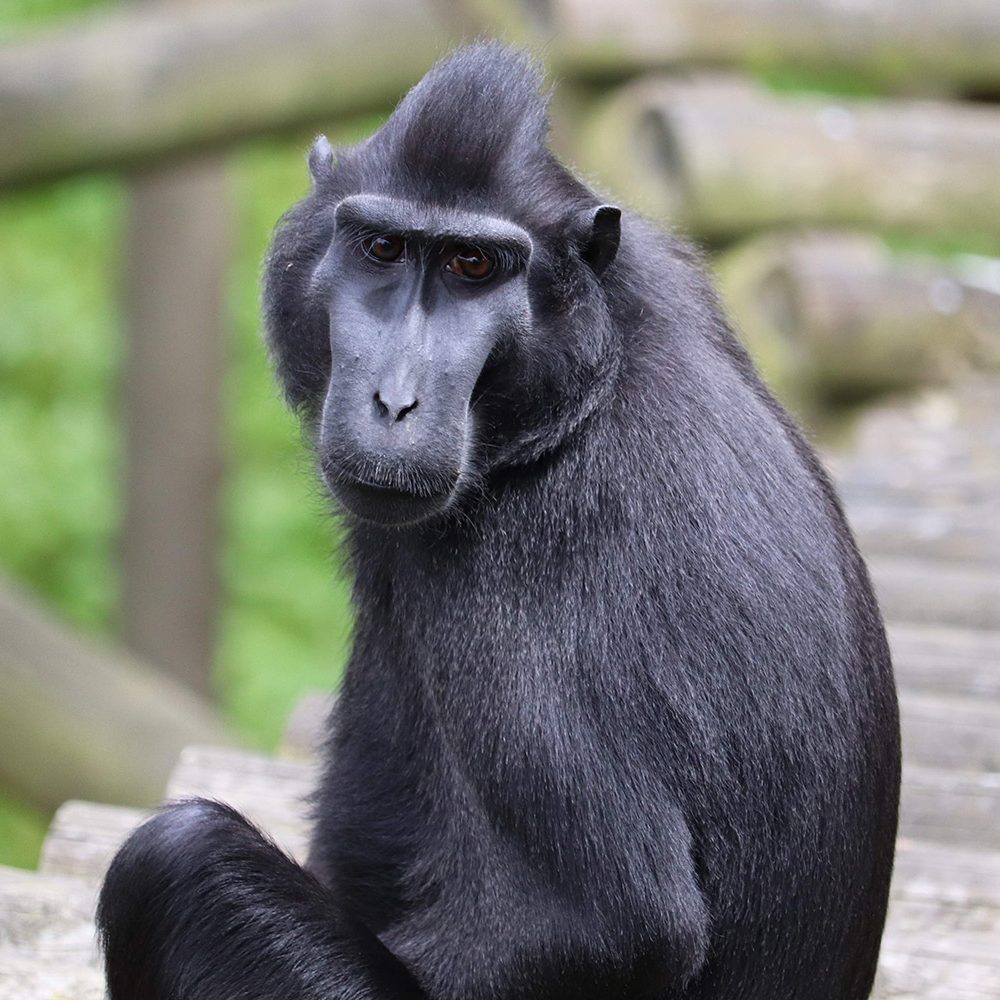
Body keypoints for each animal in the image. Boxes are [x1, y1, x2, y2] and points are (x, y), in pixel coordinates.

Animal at [97, 43, 904, 996]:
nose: (394, 402)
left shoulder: (517, 556)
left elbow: (615, 920)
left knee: (177, 855)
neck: (585, 386)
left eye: (474, 268)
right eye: (382, 248)